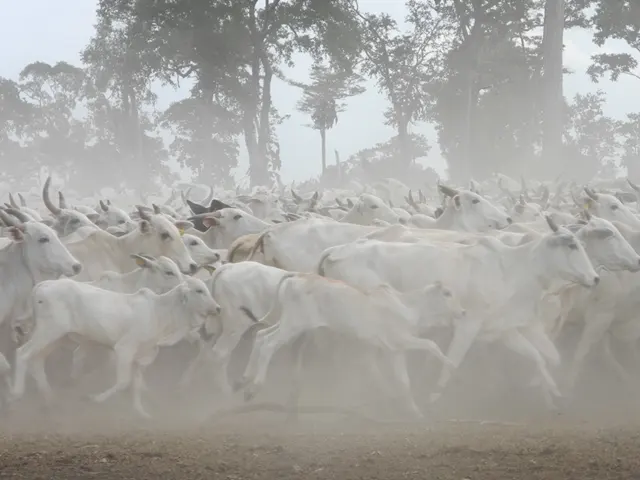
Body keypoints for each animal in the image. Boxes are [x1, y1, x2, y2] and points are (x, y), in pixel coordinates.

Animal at [11, 276, 221, 418]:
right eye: (199, 290)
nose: (218, 308)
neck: (159, 313)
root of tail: (43, 285)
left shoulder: (141, 357)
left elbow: (136, 385)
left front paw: (141, 412)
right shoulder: (124, 350)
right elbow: (123, 382)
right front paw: (94, 399)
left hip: (56, 338)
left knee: (37, 361)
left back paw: (50, 400)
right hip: (49, 331)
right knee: (22, 354)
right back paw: (16, 394)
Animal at [234, 272, 460, 418]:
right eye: (447, 293)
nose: (463, 311)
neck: (409, 307)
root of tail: (295, 277)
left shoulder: (395, 351)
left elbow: (404, 382)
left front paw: (415, 412)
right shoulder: (403, 340)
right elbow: (432, 344)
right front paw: (452, 367)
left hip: (290, 323)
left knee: (261, 335)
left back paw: (243, 380)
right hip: (294, 325)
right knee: (268, 345)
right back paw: (254, 387)